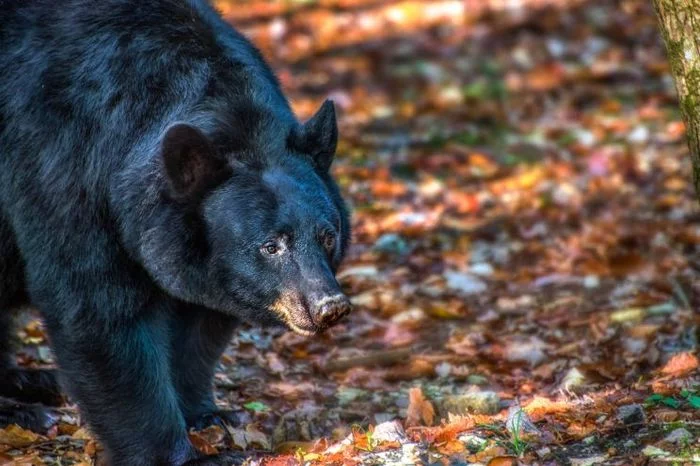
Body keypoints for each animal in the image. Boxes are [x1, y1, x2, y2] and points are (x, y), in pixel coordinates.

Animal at [0, 1, 350, 464]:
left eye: (328, 236)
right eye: (270, 246)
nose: (329, 306)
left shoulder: (204, 258)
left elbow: (200, 325)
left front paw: (207, 416)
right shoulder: (65, 176)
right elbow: (99, 313)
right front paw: (178, 452)